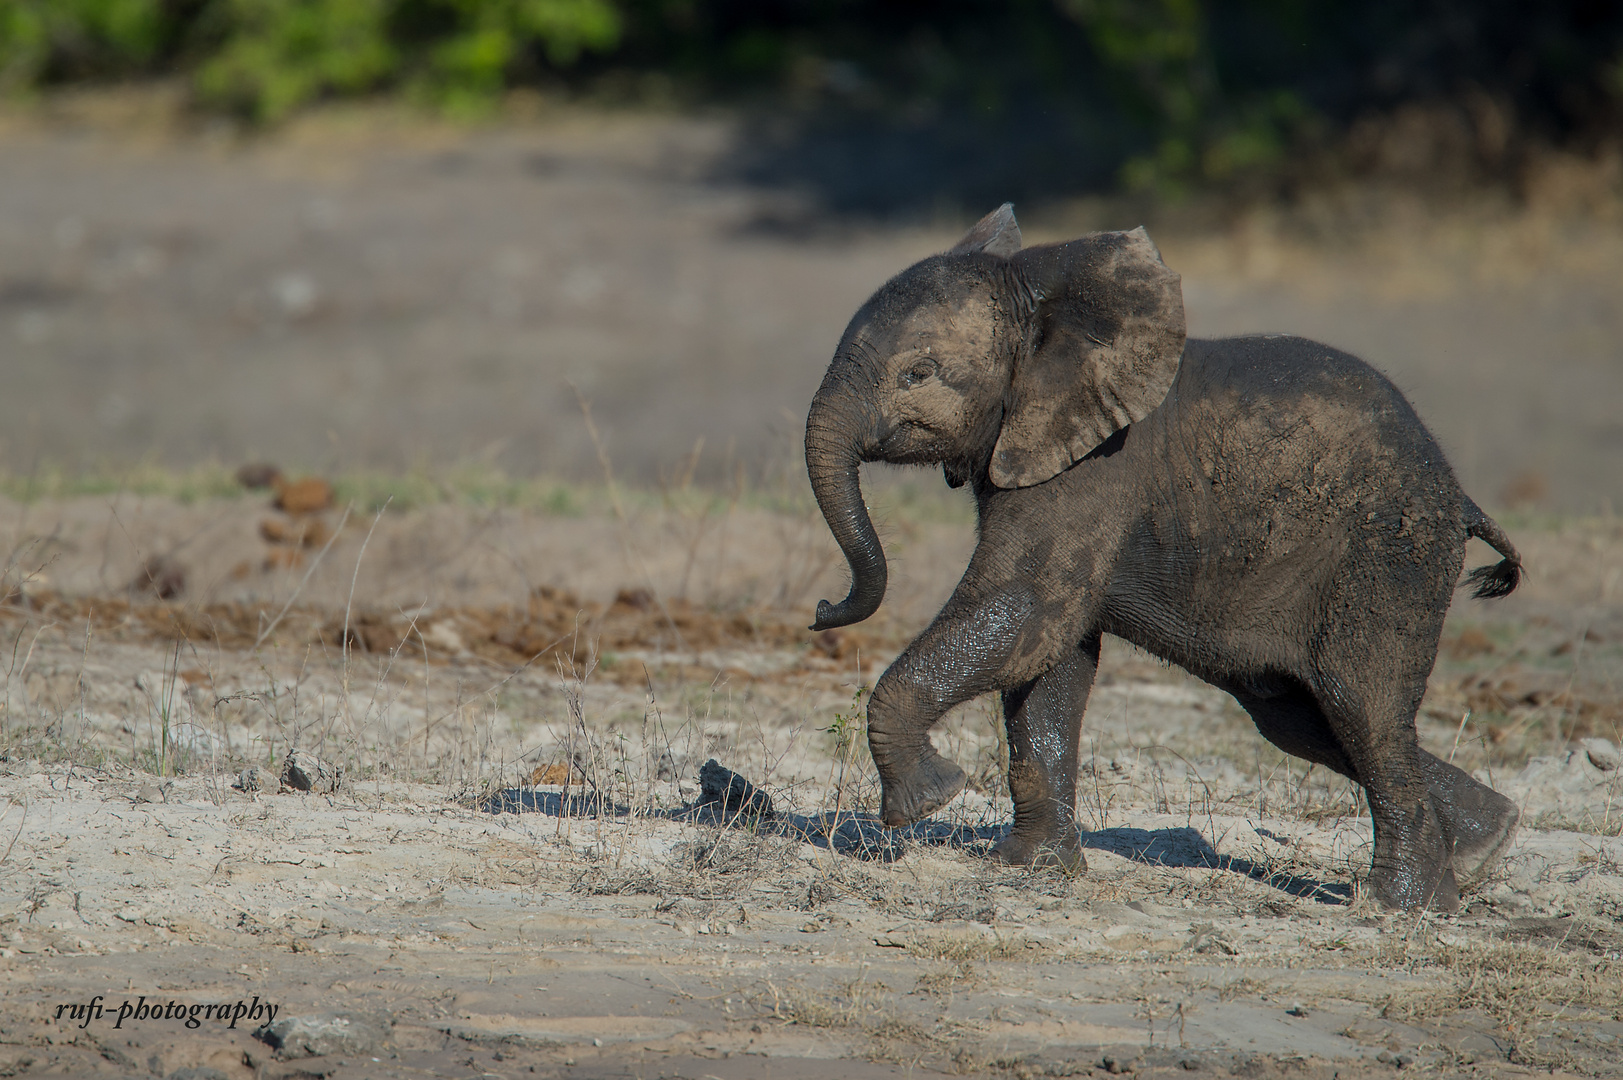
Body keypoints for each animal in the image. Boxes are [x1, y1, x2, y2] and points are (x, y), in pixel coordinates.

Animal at [811, 204, 1519, 909]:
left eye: (918, 374)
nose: (821, 610)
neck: (1046, 302)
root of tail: (1460, 497)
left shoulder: (1095, 472)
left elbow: (1023, 610)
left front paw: (928, 799)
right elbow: (1051, 656)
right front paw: (1030, 867)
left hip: (1388, 557)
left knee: (1363, 709)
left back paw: (1399, 904)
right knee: (1299, 716)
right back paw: (1483, 848)